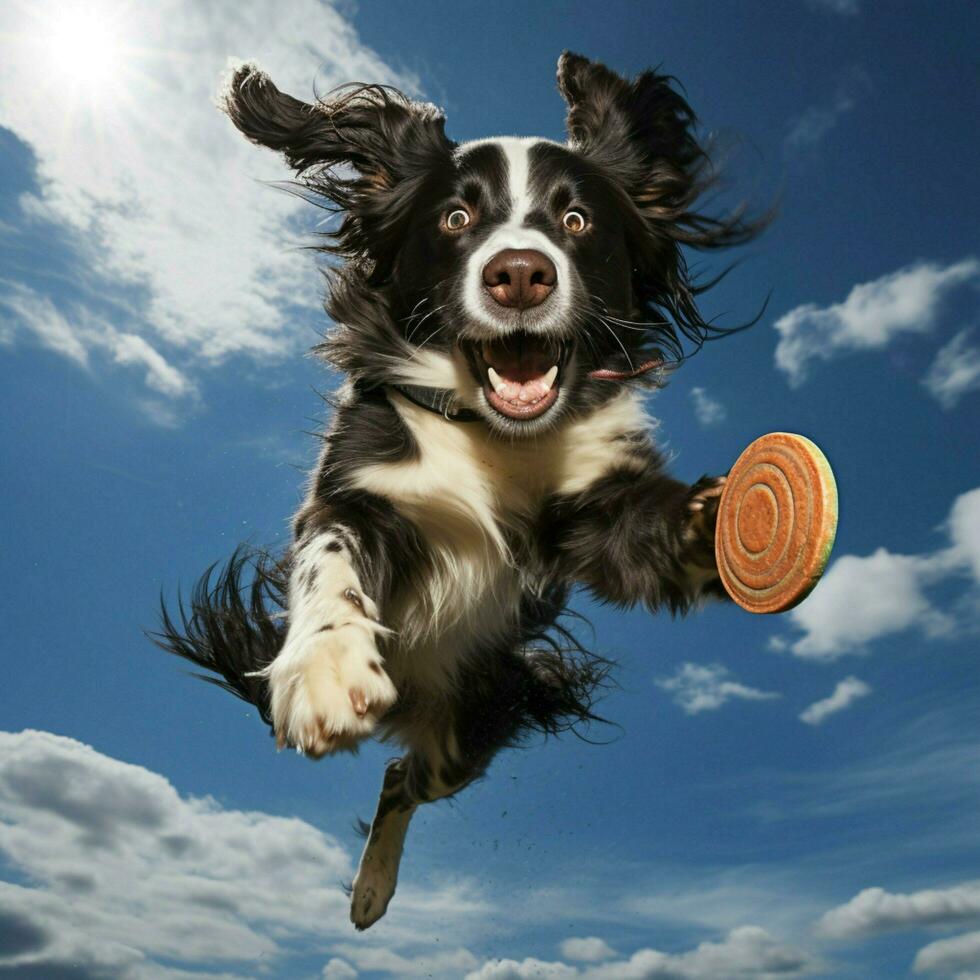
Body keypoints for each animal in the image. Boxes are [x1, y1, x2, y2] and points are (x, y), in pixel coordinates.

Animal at [155, 51, 764, 928]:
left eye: (576, 221)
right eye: (454, 219)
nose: (520, 275)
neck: (489, 434)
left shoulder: (594, 511)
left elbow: (652, 527)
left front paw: (719, 519)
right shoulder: (354, 490)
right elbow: (331, 558)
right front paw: (325, 665)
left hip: (470, 724)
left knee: (402, 776)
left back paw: (372, 889)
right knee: (395, 774)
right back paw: (368, 890)